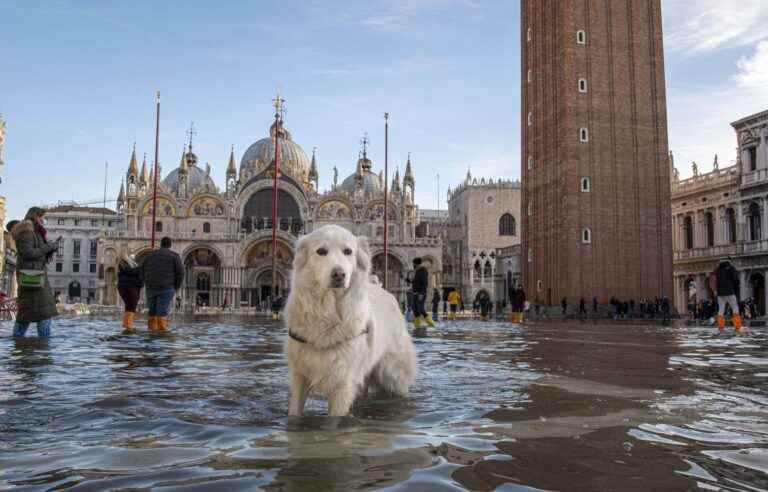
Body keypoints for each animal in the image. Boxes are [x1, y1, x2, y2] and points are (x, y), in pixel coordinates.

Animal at [284, 226, 416, 416]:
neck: (328, 313)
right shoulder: (300, 375)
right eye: (321, 251)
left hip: (393, 376)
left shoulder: (343, 383)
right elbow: (294, 412)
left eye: (348, 251)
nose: (339, 274)